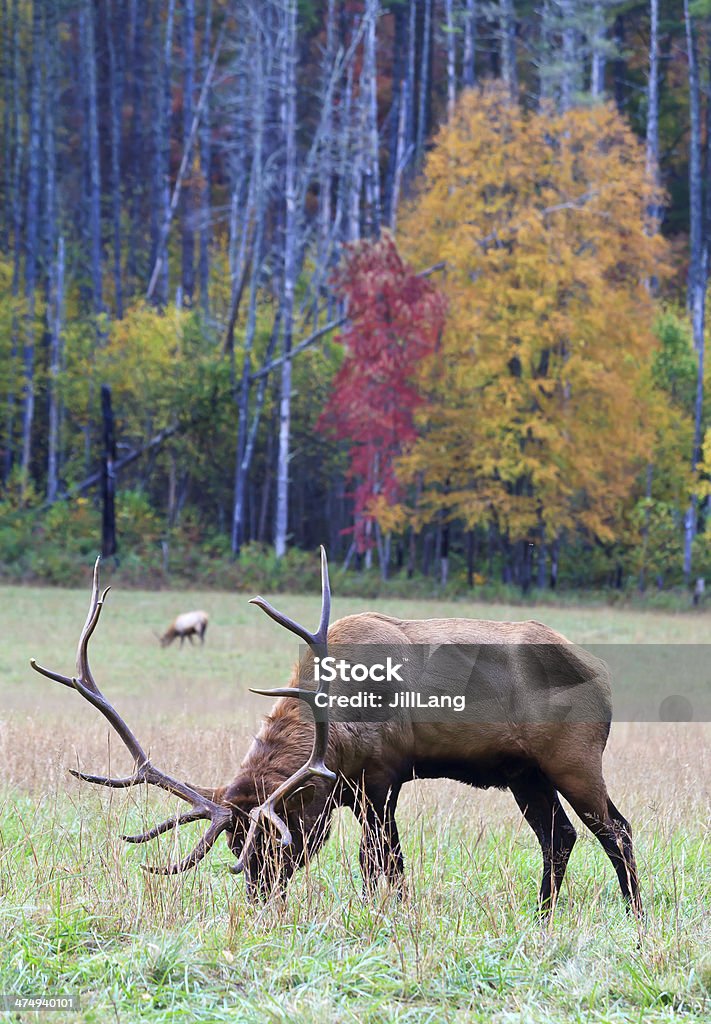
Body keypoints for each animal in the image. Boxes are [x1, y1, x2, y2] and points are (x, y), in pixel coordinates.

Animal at [30, 548, 643, 917]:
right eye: (234, 842)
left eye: (277, 838)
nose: (259, 900)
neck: (339, 735)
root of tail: (605, 677)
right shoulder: (351, 791)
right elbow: (386, 862)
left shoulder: (384, 778)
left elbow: (382, 863)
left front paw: (387, 913)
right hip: (524, 773)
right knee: (559, 837)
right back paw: (541, 916)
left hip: (575, 757)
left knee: (616, 828)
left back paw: (636, 914)